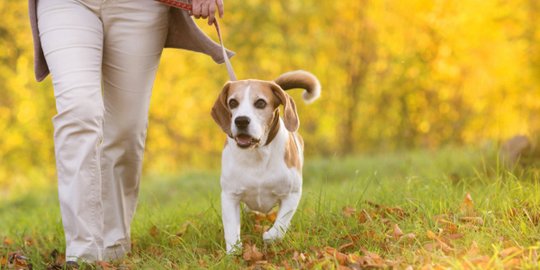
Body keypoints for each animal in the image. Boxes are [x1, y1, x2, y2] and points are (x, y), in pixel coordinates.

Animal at [211, 70, 320, 253]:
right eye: (232, 102)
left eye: (260, 103)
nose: (241, 120)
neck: (257, 153)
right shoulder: (229, 196)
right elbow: (231, 228)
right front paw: (233, 251)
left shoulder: (292, 194)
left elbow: (281, 224)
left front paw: (269, 236)